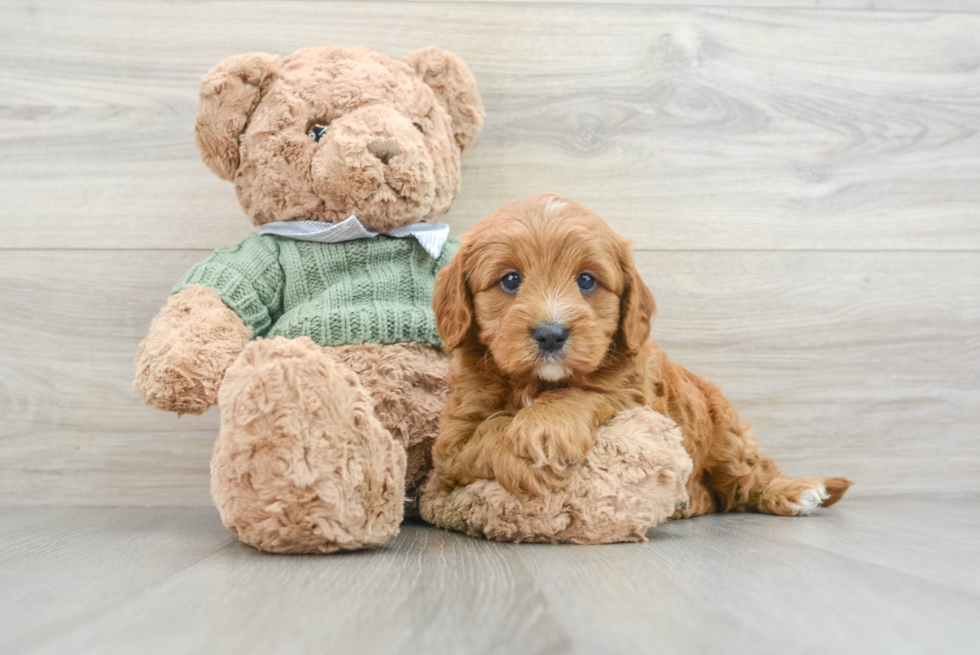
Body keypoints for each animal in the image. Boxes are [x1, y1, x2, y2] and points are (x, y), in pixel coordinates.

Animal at [430, 195, 848, 516]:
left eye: (586, 280)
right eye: (510, 280)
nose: (551, 334)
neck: (538, 383)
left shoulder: (633, 395)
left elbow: (583, 392)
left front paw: (544, 428)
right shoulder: (452, 442)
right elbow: (487, 431)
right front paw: (526, 455)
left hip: (726, 437)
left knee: (749, 479)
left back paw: (797, 492)